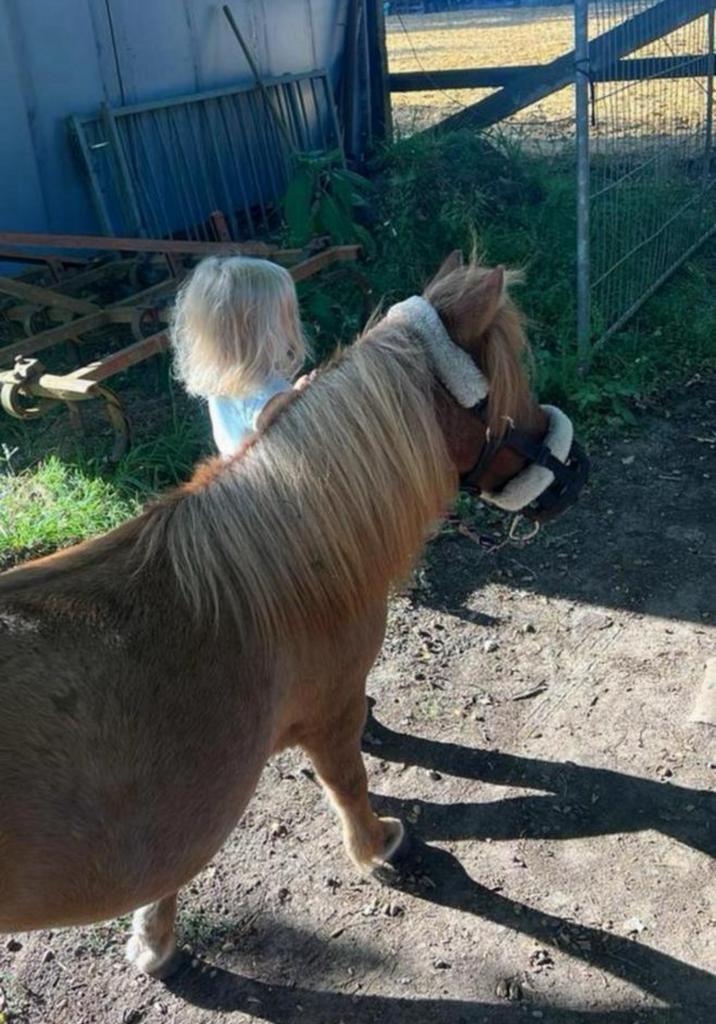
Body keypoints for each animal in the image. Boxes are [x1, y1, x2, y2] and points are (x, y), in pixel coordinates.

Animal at [0, 254, 586, 977]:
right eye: (511, 388)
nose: (578, 471)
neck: (276, 573)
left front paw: (151, 940)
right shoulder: (328, 717)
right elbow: (349, 781)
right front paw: (380, 846)